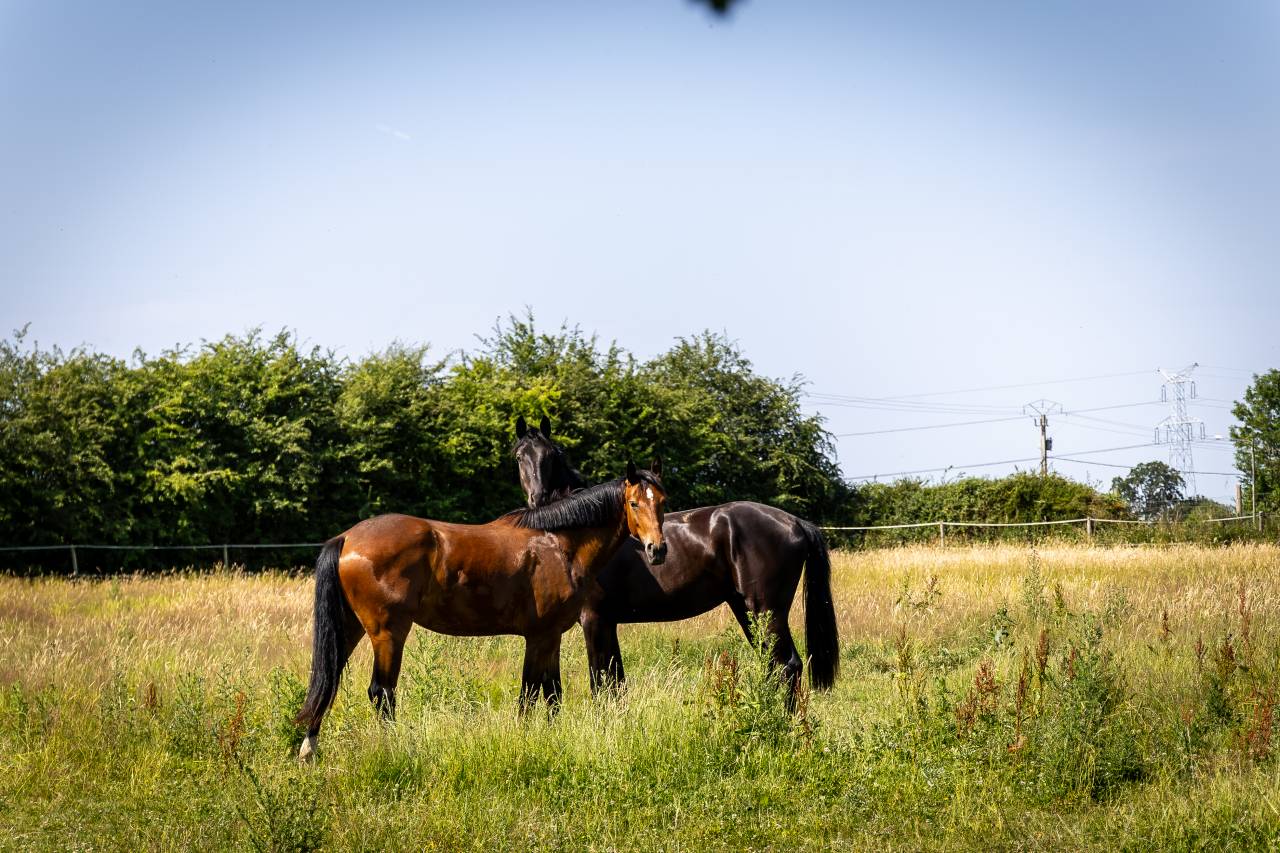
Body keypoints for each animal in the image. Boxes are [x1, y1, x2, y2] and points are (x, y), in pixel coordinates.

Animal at [294, 461, 668, 761]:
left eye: (663, 502)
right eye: (634, 503)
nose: (657, 550)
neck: (558, 544)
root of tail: (346, 538)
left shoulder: (551, 636)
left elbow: (552, 695)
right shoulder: (539, 636)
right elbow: (530, 694)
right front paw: (525, 741)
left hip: (350, 627)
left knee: (329, 681)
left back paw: (309, 749)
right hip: (388, 633)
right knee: (381, 693)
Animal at [512, 417, 838, 706]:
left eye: (550, 456)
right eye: (519, 456)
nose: (538, 498)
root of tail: (795, 522)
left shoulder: (594, 620)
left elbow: (600, 684)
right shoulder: (608, 622)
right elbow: (616, 684)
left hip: (766, 612)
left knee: (789, 665)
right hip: (746, 609)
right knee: (774, 666)